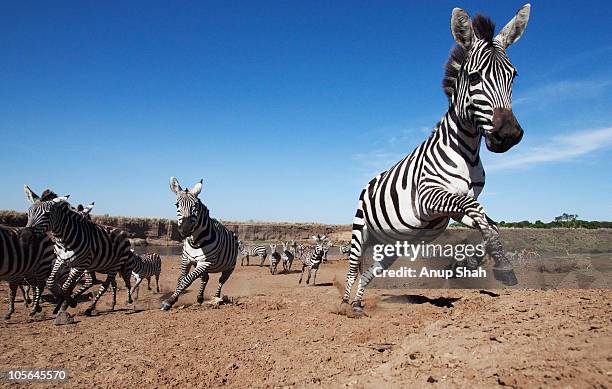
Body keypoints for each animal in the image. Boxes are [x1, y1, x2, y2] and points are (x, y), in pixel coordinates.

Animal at [23, 186, 133, 322]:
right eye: (28, 213)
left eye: (47, 214)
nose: (25, 236)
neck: (64, 240)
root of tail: (122, 232)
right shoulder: (60, 260)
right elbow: (52, 282)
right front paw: (62, 302)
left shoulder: (80, 264)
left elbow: (66, 286)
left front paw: (69, 302)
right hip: (101, 266)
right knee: (106, 283)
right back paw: (110, 304)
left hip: (114, 266)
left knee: (104, 285)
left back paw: (90, 308)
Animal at [161, 177, 238, 310]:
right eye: (177, 205)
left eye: (195, 206)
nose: (185, 229)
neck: (195, 241)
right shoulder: (186, 259)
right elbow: (180, 279)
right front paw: (174, 298)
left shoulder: (205, 262)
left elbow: (187, 280)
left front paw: (169, 301)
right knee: (205, 278)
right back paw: (200, 298)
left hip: (229, 267)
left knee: (221, 280)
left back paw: (217, 298)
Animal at [340, 5, 532, 316]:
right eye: (475, 77)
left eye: (513, 76)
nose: (509, 135)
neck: (467, 151)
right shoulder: (429, 197)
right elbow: (479, 212)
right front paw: (500, 266)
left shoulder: (456, 208)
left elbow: (488, 222)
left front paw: (468, 264)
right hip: (360, 230)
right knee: (353, 268)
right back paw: (344, 303)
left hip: (393, 246)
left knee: (369, 272)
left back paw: (358, 303)